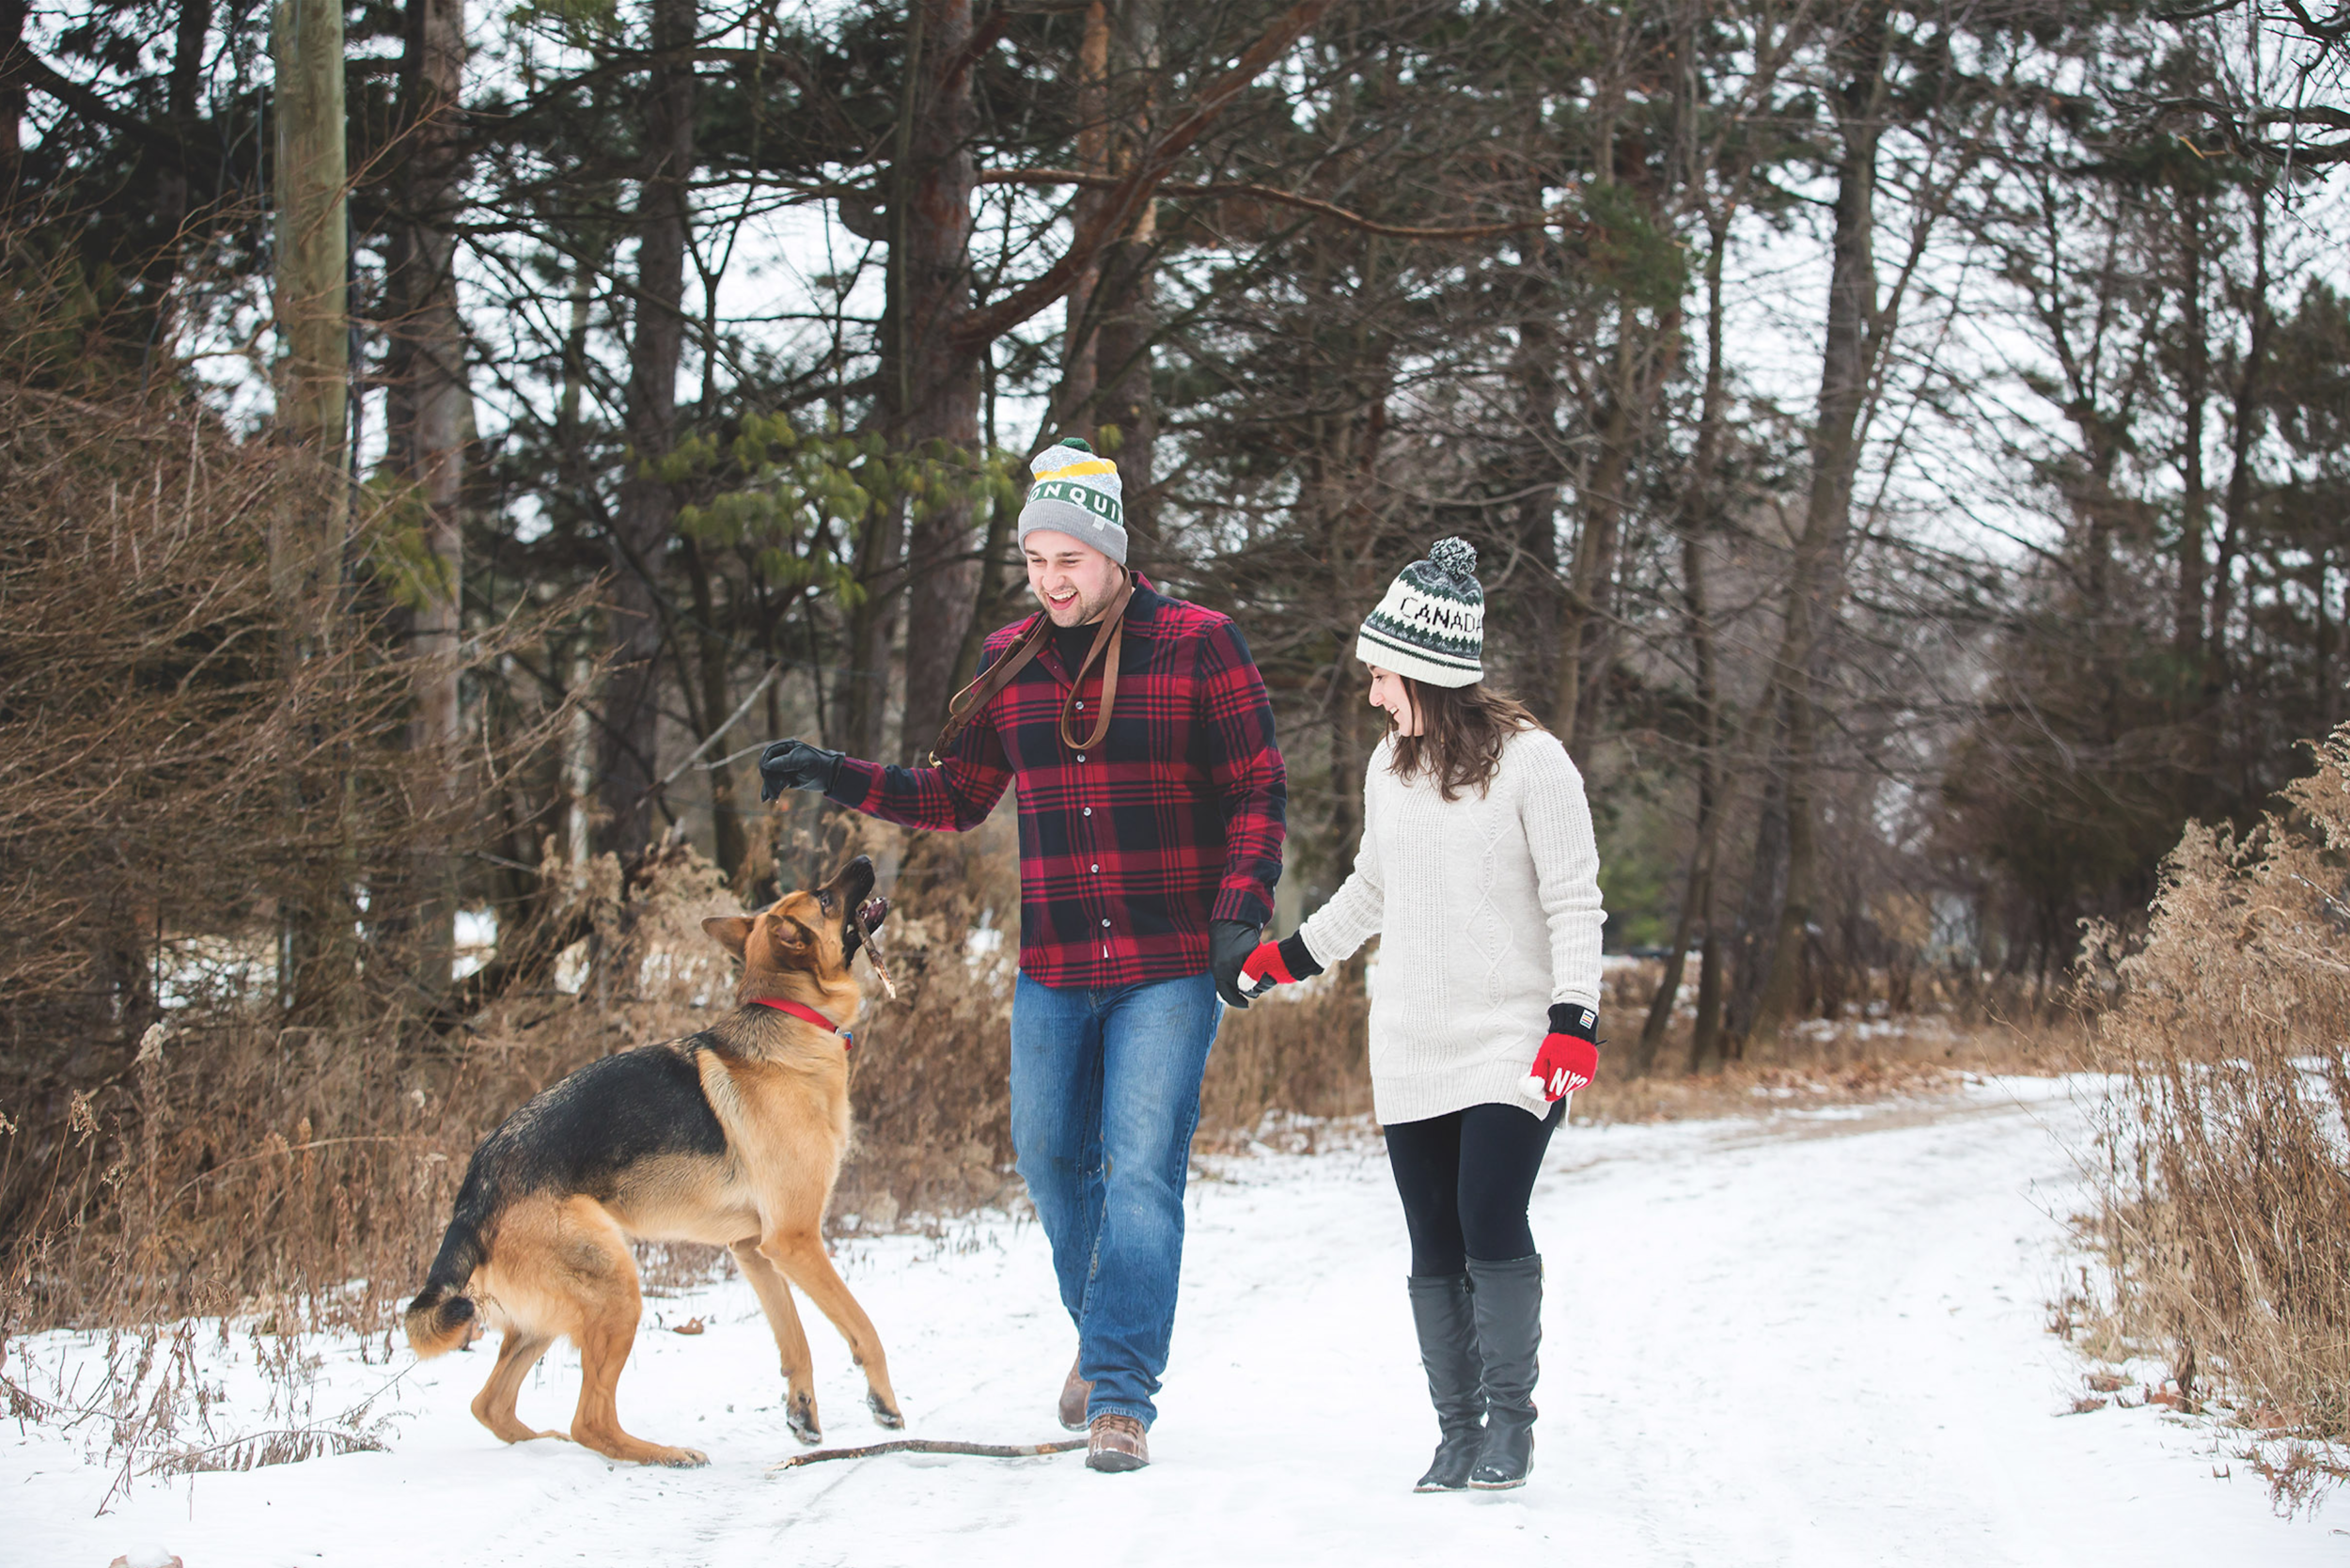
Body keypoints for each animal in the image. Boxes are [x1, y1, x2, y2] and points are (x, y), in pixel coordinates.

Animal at [404, 851, 898, 1466]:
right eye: (825, 899)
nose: (865, 858)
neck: (788, 1018)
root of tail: (477, 1186)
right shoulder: (795, 1242)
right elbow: (862, 1326)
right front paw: (884, 1402)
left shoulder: (754, 1249)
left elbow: (794, 1339)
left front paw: (801, 1410)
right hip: (617, 1289)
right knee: (590, 1420)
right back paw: (663, 1454)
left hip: (552, 1314)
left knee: (491, 1404)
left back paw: (545, 1447)